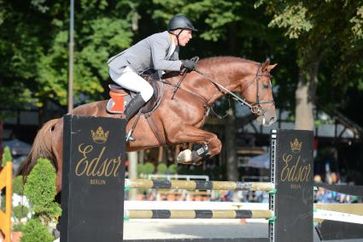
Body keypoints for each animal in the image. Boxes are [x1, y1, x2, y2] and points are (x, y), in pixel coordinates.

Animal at [19, 55, 278, 192]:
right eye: (266, 85)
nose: (272, 117)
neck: (192, 90)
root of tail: (60, 121)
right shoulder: (176, 132)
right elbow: (215, 140)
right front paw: (188, 156)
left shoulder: (190, 131)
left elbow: (213, 142)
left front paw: (190, 156)